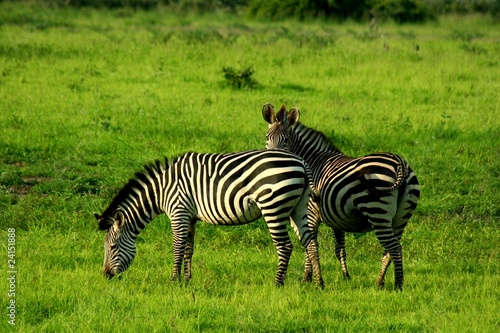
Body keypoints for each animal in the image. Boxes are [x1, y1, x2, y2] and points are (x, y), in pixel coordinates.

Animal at [94, 149, 324, 286]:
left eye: (112, 247)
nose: (105, 275)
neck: (162, 191)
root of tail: (301, 162)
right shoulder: (190, 217)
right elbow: (188, 249)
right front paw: (187, 280)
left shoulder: (178, 212)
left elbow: (177, 248)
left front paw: (174, 280)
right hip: (298, 209)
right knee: (311, 243)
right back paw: (316, 283)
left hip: (273, 206)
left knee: (285, 247)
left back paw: (277, 284)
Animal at [264, 102, 420, 290]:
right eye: (267, 137)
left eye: (286, 140)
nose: (273, 161)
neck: (313, 161)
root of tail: (400, 163)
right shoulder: (335, 217)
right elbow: (339, 248)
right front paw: (346, 276)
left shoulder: (310, 213)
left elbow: (310, 245)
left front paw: (307, 278)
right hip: (401, 218)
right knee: (390, 250)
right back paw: (379, 282)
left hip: (377, 211)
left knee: (394, 248)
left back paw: (397, 286)